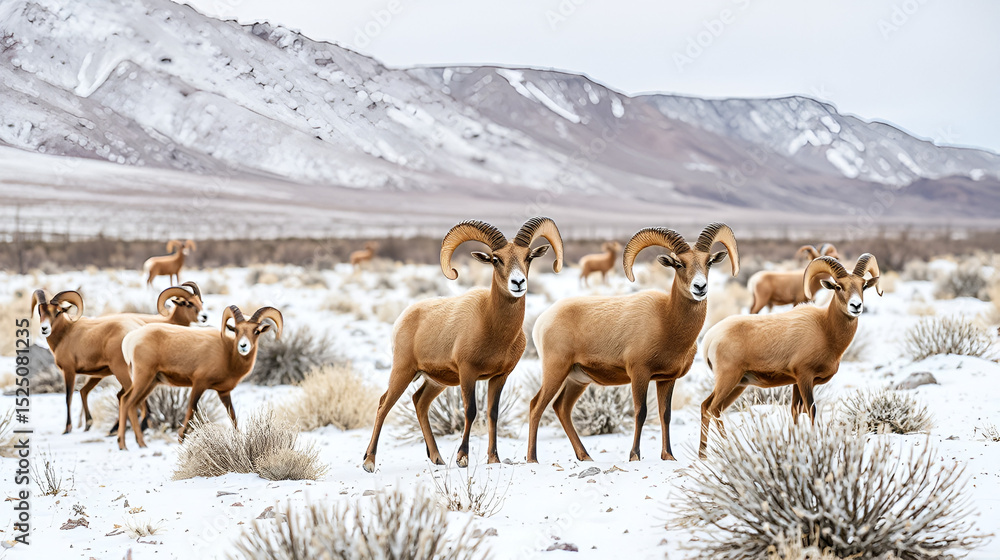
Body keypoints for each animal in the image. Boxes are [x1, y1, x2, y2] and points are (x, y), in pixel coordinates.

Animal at [31, 290, 144, 434]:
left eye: (57, 312)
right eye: (40, 311)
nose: (44, 329)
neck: (65, 333)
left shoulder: (69, 371)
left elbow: (68, 397)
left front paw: (67, 428)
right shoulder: (96, 375)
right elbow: (83, 392)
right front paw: (88, 424)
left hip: (122, 371)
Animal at [117, 305, 283, 450]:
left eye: (256, 331)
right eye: (236, 330)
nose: (243, 346)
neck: (227, 354)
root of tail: (131, 338)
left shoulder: (223, 393)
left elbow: (232, 415)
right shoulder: (199, 384)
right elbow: (191, 409)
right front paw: (181, 439)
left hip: (151, 383)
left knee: (132, 405)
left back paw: (141, 444)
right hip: (143, 378)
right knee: (126, 401)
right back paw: (123, 445)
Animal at [362, 217, 564, 472]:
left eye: (528, 256)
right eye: (496, 259)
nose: (518, 282)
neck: (492, 325)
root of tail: (405, 317)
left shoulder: (499, 377)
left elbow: (492, 413)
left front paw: (494, 458)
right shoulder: (468, 374)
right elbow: (470, 411)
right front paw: (462, 458)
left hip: (435, 382)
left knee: (420, 403)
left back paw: (437, 458)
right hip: (403, 372)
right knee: (383, 405)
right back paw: (369, 462)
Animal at [527, 223, 739, 463]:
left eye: (709, 262)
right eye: (678, 264)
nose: (700, 287)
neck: (666, 320)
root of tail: (543, 321)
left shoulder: (666, 380)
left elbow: (665, 414)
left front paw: (668, 456)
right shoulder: (639, 374)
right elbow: (641, 412)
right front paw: (635, 455)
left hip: (577, 380)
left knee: (561, 408)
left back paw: (585, 456)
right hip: (556, 371)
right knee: (536, 406)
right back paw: (532, 459)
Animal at [699, 254, 882, 459]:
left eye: (863, 286)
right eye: (838, 286)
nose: (856, 306)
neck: (825, 328)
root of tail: (711, 337)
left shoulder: (796, 383)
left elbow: (795, 410)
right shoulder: (804, 378)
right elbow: (811, 410)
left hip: (738, 385)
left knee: (710, 408)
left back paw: (706, 454)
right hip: (728, 380)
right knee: (712, 408)